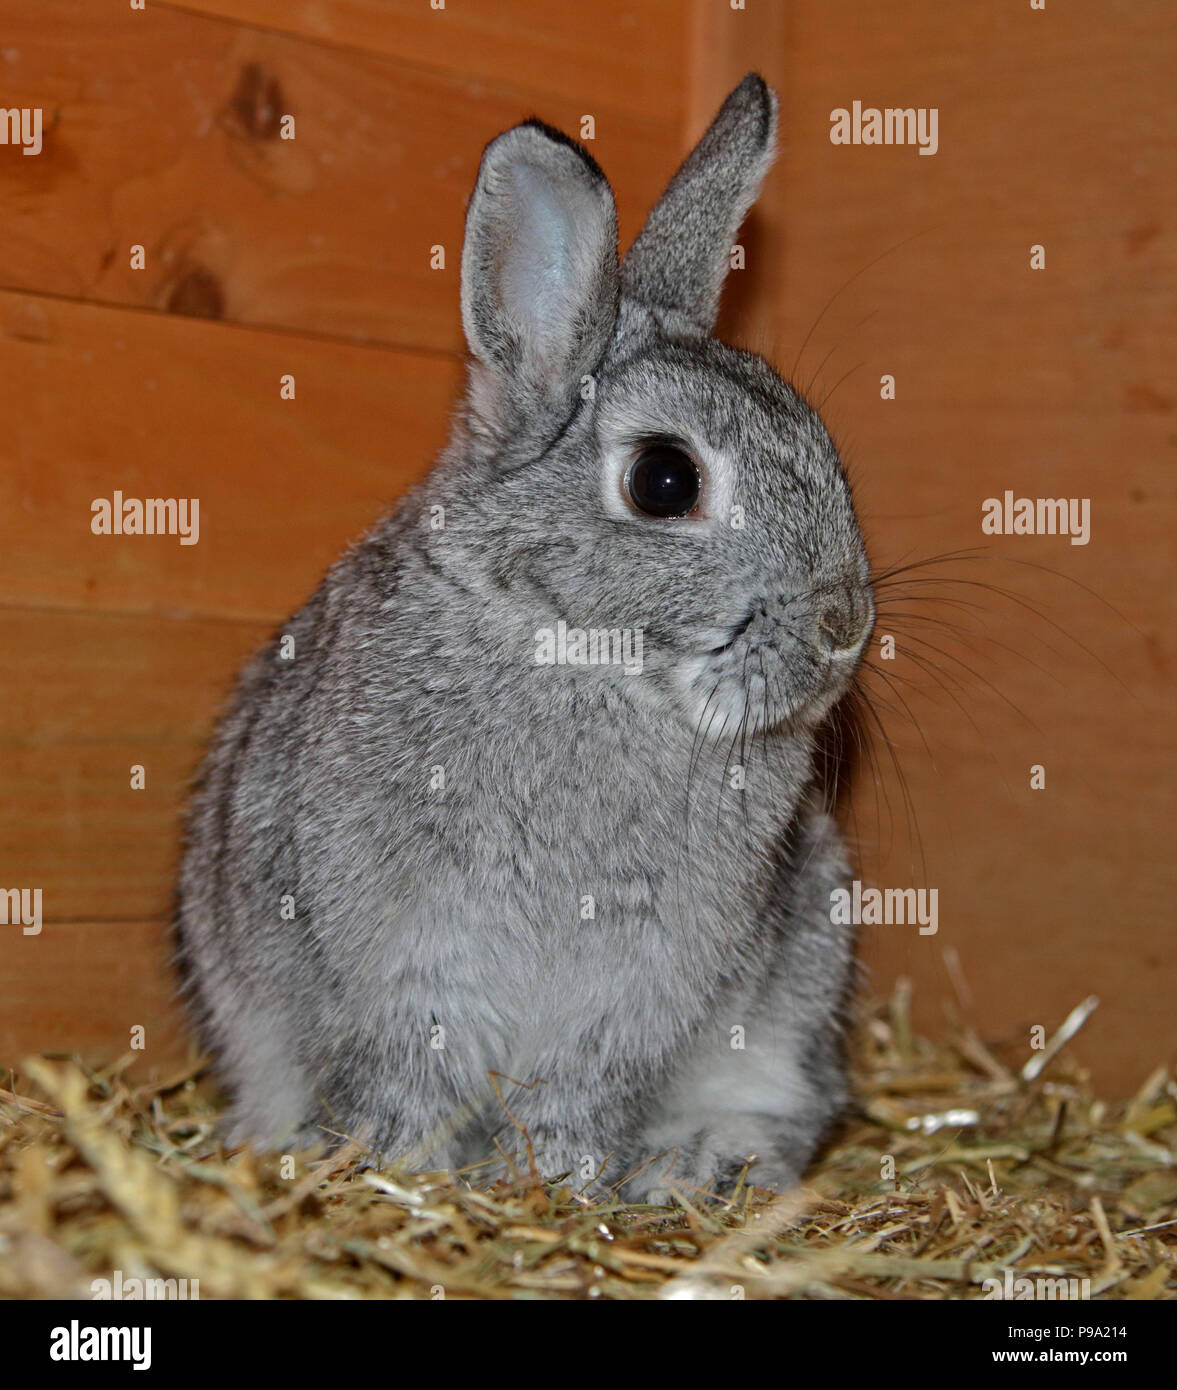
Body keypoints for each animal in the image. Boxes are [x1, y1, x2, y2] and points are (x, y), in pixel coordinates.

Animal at [175, 76, 872, 1200]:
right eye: (664, 480)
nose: (844, 627)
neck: (578, 653)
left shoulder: (630, 996)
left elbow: (571, 1099)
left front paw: (556, 1185)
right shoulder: (406, 966)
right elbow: (405, 1080)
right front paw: (400, 1172)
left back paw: (698, 1168)